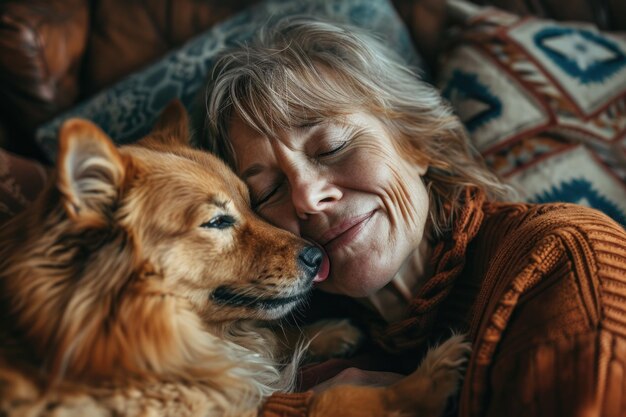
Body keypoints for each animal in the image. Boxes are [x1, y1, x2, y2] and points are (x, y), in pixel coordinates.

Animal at [0, 102, 466, 416]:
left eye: (253, 201)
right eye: (218, 221)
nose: (318, 256)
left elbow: (274, 338)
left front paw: (331, 332)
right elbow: (336, 397)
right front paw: (427, 378)